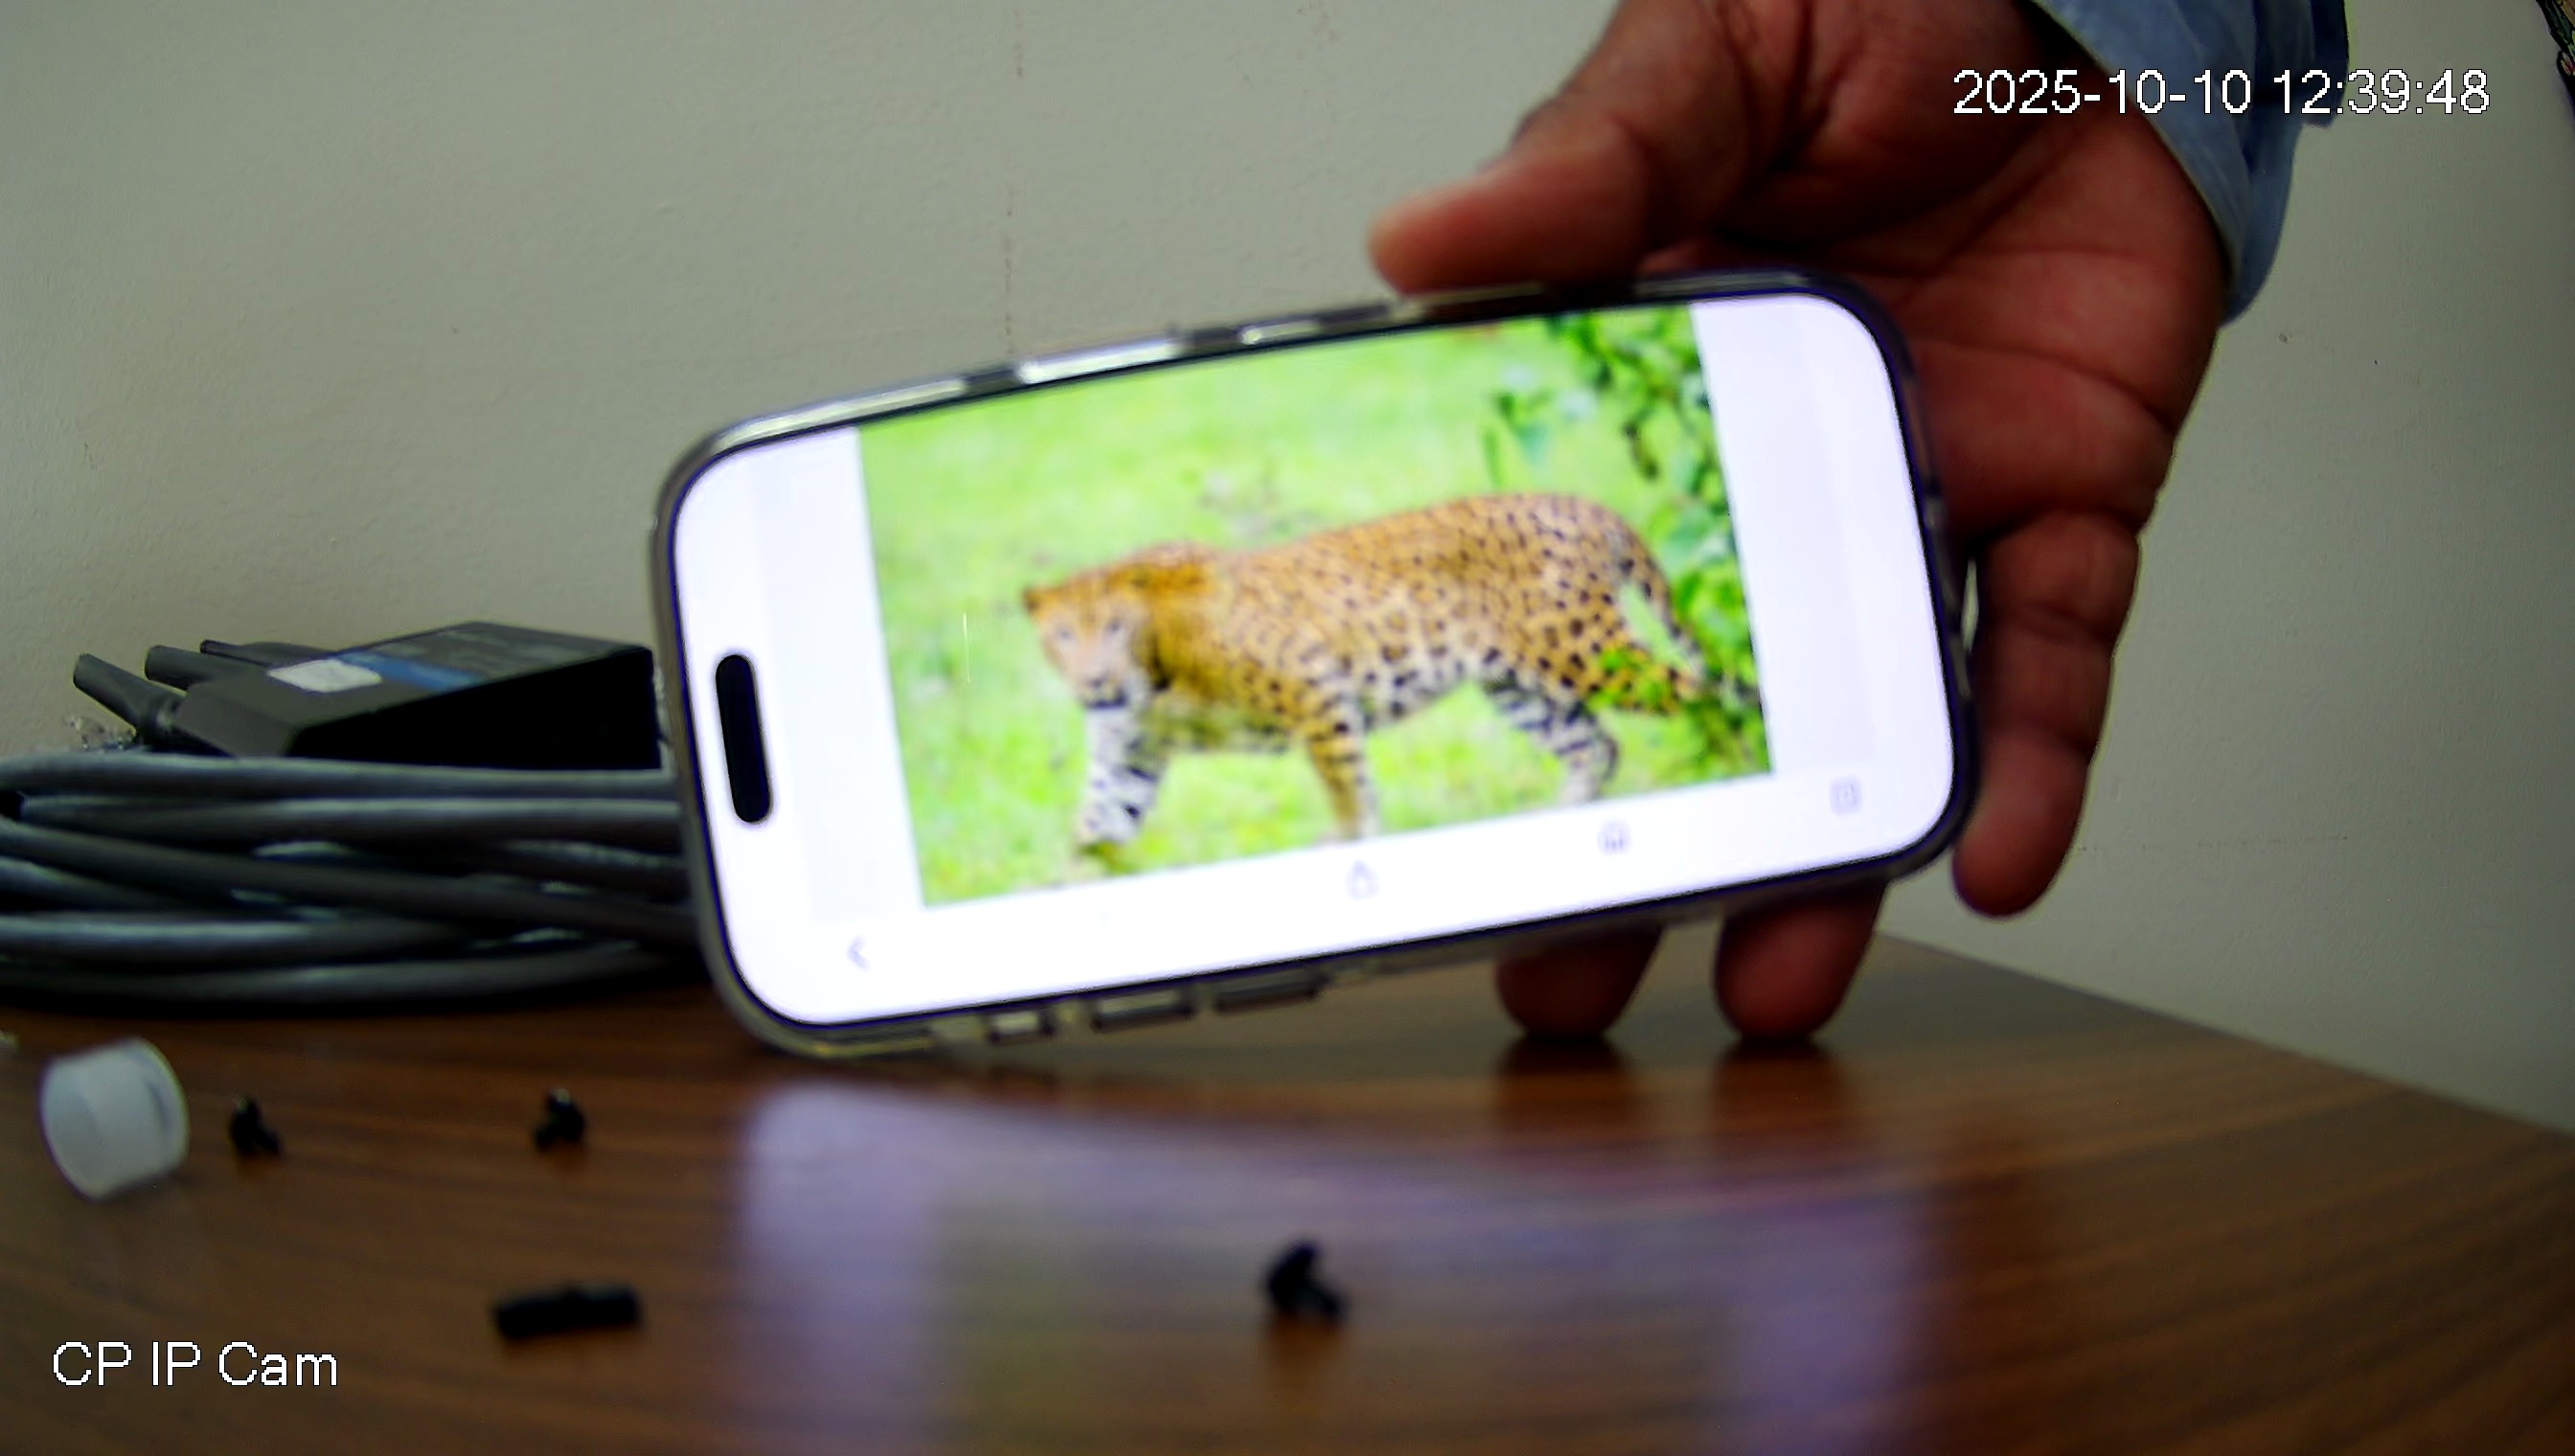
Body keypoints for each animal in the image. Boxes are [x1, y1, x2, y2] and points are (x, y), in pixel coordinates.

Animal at [1021, 492, 1713, 848]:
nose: (1095, 684)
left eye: (1115, 628)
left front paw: (1357, 842)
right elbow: (1092, 834)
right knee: (1596, 746)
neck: (1153, 674)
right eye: (1064, 636)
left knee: (1708, 692)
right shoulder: (1126, 758)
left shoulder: (1316, 694)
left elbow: (1349, 791)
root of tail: (1583, 505)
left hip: (1588, 654)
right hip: (1519, 685)